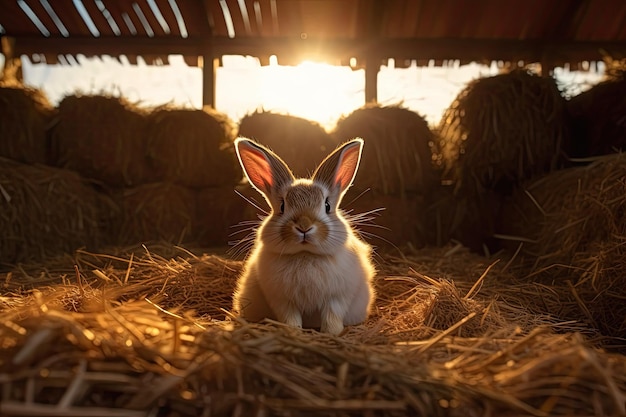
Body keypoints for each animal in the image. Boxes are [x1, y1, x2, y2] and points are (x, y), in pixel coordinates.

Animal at [230, 136, 372, 334]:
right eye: (282, 206)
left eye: (327, 206)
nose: (304, 226)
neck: (305, 255)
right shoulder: (282, 300)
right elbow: (290, 317)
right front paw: (293, 331)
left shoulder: (337, 298)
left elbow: (332, 316)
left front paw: (331, 333)